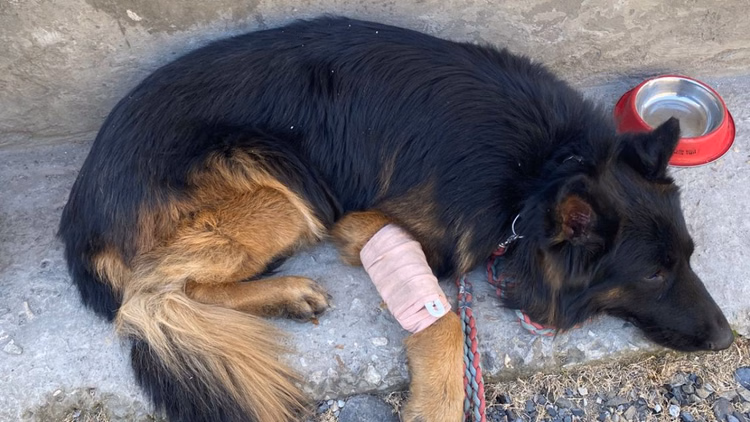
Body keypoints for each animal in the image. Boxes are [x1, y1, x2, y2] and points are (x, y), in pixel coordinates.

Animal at [58, 16, 733, 422]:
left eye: (689, 257)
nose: (727, 339)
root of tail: (80, 216)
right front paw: (438, 400)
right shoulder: (366, 222)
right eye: (652, 275)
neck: (540, 173)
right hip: (281, 185)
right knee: (150, 301)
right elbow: (443, 319)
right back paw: (284, 292)